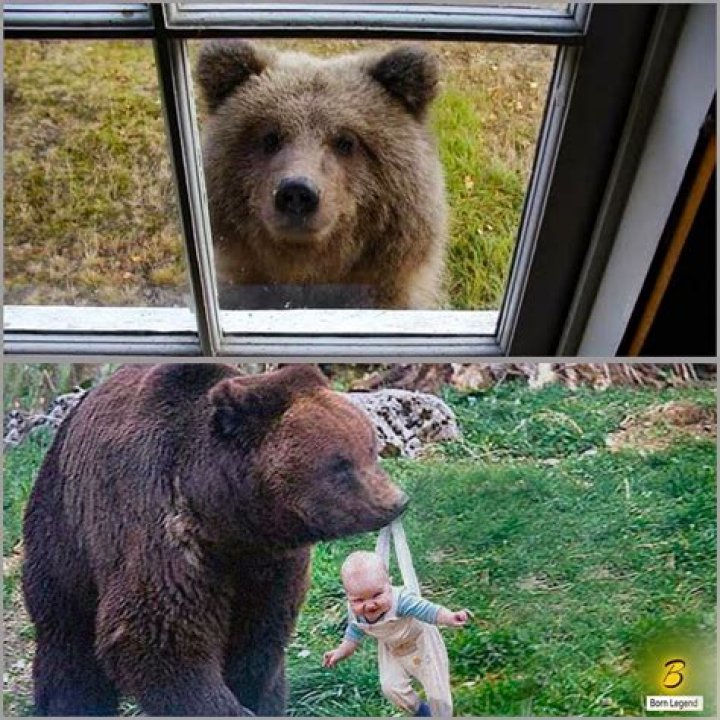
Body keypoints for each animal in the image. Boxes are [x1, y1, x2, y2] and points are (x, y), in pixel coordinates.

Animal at [22, 364, 408, 716]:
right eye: (339, 465)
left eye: (370, 448)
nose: (396, 502)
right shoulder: (162, 533)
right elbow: (159, 637)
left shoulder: (272, 561)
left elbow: (260, 637)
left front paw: (254, 696)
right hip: (66, 533)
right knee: (67, 639)